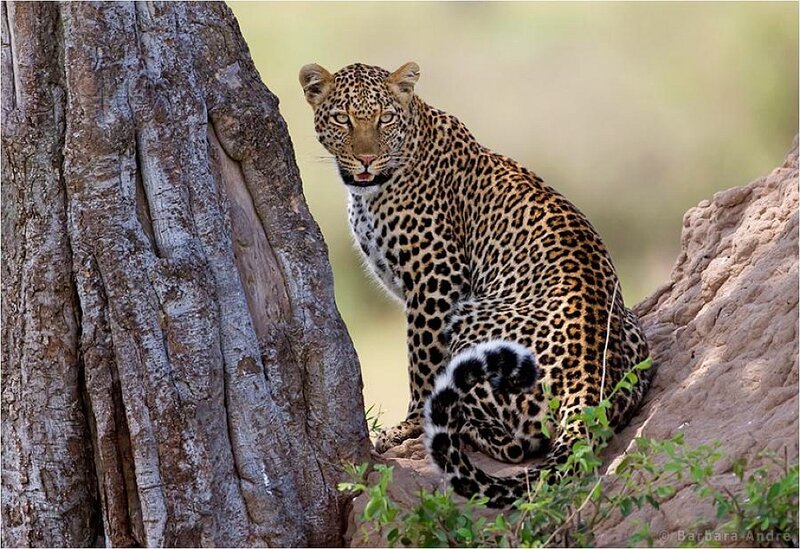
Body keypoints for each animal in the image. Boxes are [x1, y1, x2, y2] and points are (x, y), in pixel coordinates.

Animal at [299, 61, 654, 507]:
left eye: (385, 119)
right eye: (342, 119)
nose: (366, 159)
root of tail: (591, 379)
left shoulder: (436, 276)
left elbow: (422, 361)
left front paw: (408, 426)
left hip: (472, 323)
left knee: (520, 443)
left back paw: (455, 422)